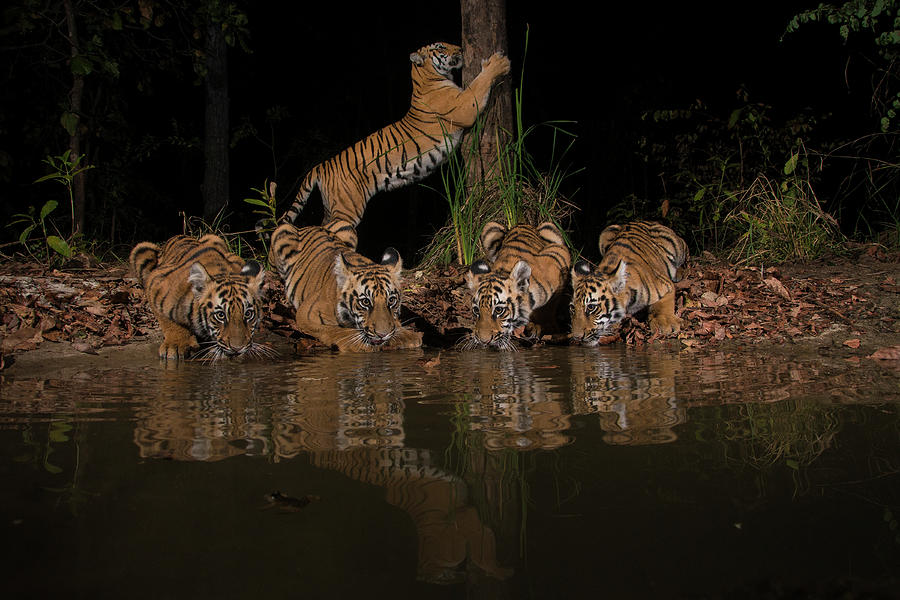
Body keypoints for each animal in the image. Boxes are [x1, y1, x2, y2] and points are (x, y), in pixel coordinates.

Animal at [128, 236, 268, 360]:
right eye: (220, 315)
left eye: (248, 314)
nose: (237, 348)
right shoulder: (155, 283)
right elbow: (168, 321)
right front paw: (175, 346)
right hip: (142, 249)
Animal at [268, 219, 422, 352]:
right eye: (365, 302)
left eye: (391, 300)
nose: (382, 334)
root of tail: (311, 226)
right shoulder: (306, 315)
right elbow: (334, 330)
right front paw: (358, 344)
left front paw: (407, 337)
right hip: (282, 231)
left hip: (346, 226)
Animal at [278, 42, 510, 229]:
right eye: (441, 46)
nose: (460, 49)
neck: (426, 78)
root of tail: (321, 165)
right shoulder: (465, 106)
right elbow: (479, 83)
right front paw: (499, 63)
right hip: (347, 208)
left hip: (332, 207)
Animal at [464, 221, 568, 352]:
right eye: (476, 310)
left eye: (499, 310)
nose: (484, 341)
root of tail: (521, 224)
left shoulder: (559, 253)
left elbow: (549, 306)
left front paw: (546, 326)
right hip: (490, 227)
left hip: (550, 227)